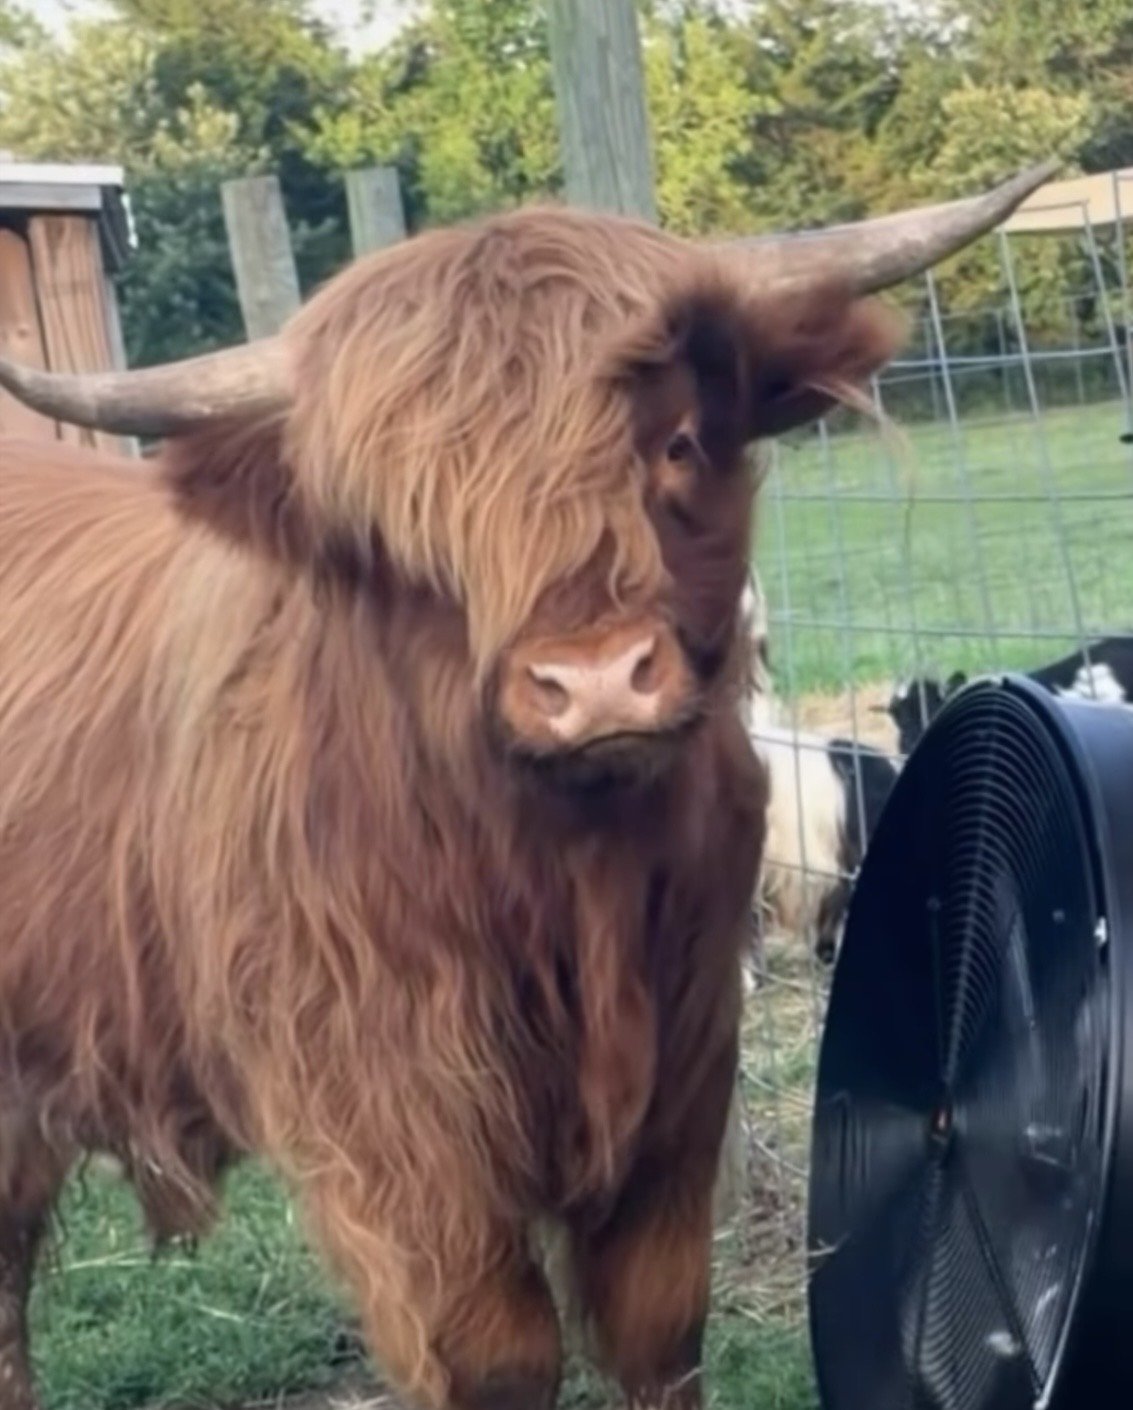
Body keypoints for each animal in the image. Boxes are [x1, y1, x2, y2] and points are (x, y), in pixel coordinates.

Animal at [0, 169, 1052, 1410]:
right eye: (404, 517)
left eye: (676, 442)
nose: (591, 682)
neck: (567, 880)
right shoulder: (395, 1135)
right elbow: (495, 1356)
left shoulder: (683, 1076)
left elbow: (657, 1330)